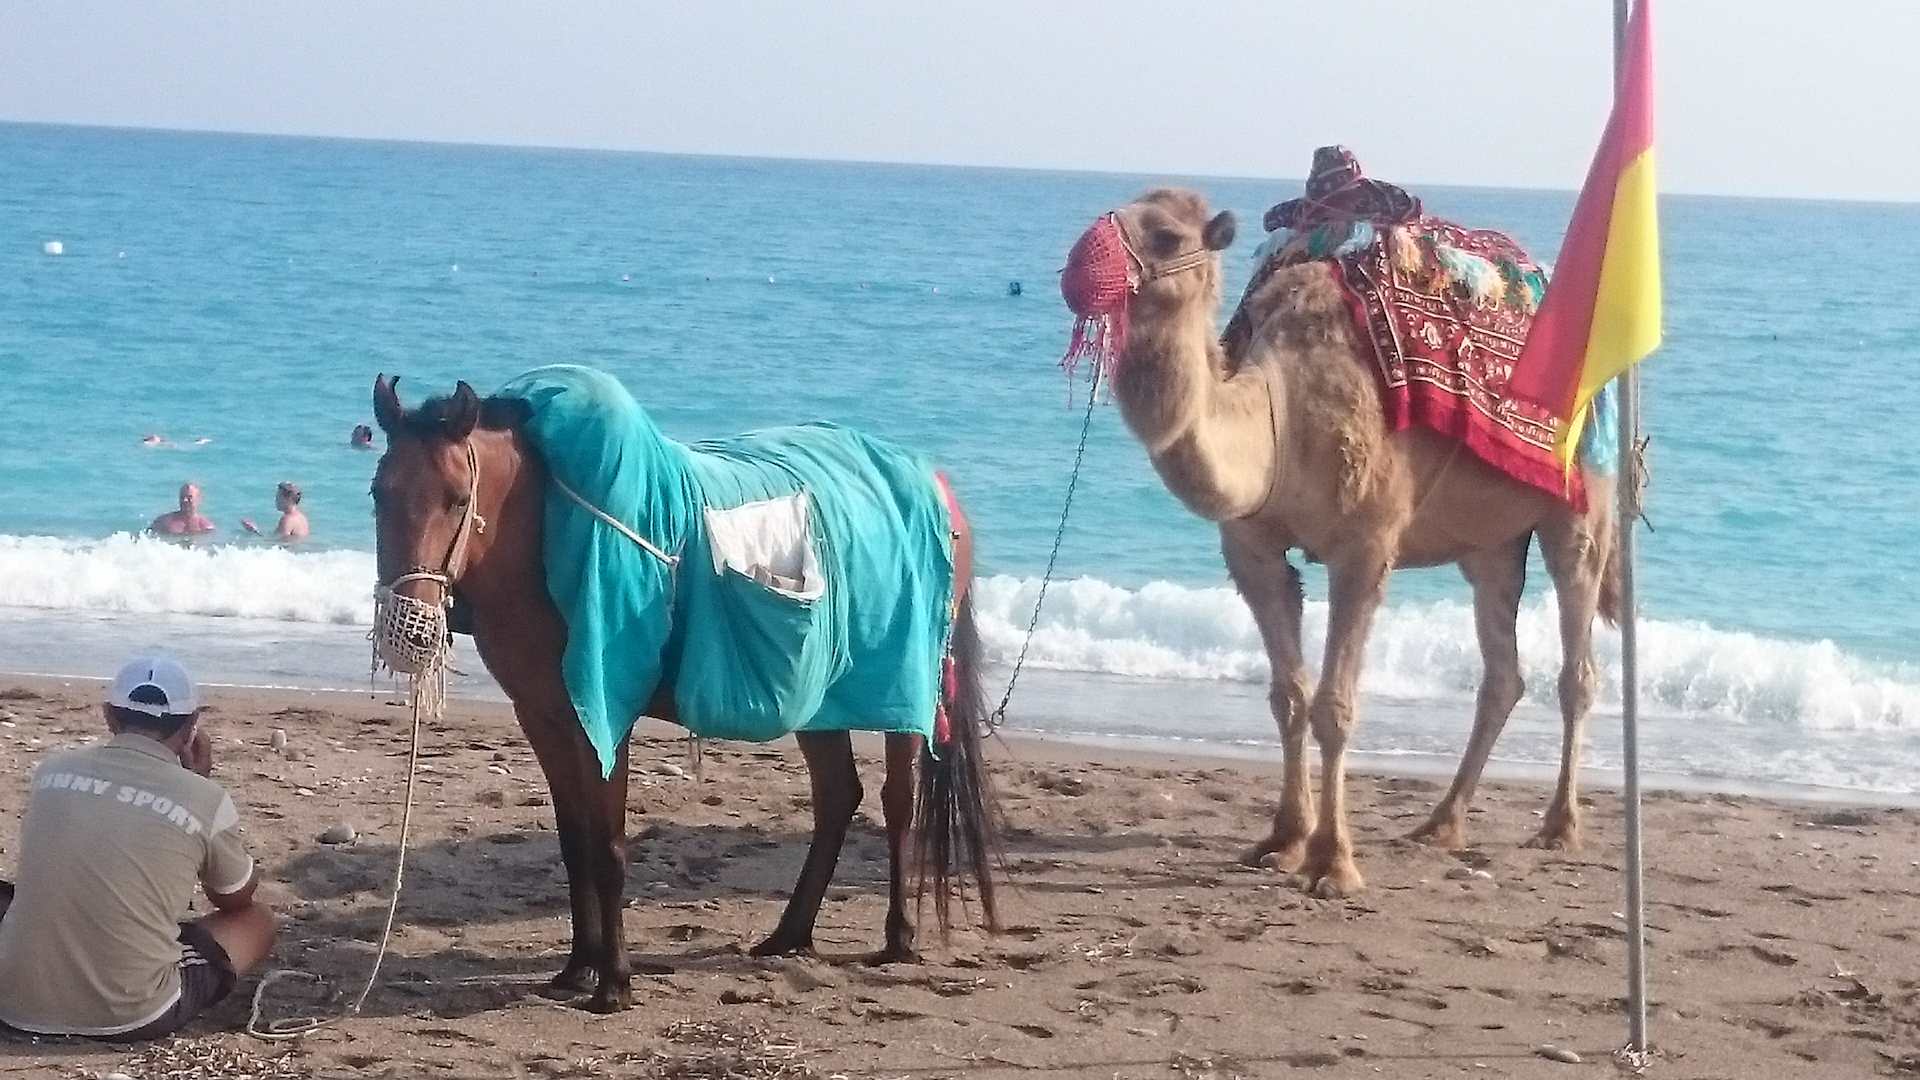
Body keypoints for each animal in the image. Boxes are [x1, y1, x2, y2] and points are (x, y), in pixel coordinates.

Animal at [369, 374, 999, 1013]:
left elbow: (608, 846)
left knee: (897, 802)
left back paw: (899, 937)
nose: (411, 627)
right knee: (837, 796)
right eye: (378, 493)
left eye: (455, 497)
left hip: (906, 685)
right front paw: (578, 966)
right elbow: (574, 843)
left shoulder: (604, 719)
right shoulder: (544, 717)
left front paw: (614, 981)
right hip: (818, 698)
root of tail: (937, 486)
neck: (550, 541)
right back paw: (790, 934)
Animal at [1087, 189, 1618, 897]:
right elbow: (1288, 696)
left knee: (1577, 656)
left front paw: (1332, 863)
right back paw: (1440, 824)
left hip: (1580, 500)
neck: (1279, 414)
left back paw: (1559, 827)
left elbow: (1334, 706)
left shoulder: (1364, 546)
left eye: (1168, 236)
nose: (1081, 268)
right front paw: (1282, 840)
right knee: (1502, 669)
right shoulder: (1251, 550)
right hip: (1490, 542)